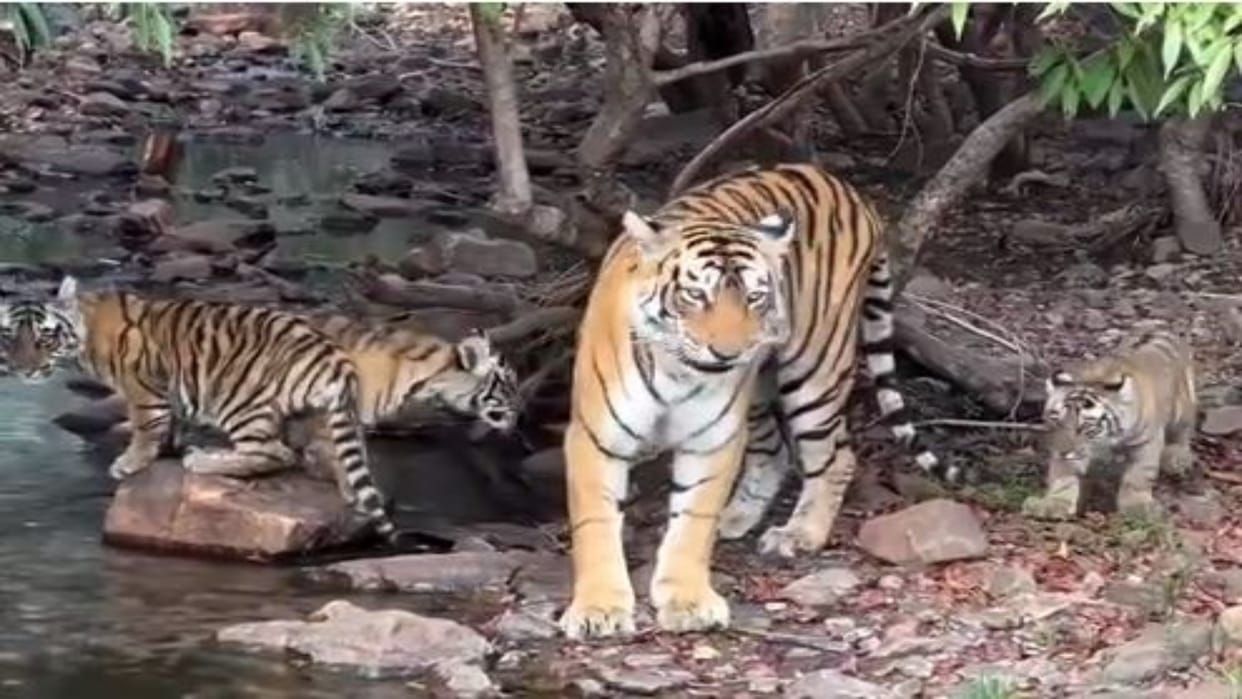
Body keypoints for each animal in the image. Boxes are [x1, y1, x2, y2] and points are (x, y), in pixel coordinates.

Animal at [0, 276, 400, 541]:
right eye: (9, 337)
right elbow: (169, 425)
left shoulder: (143, 388)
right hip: (326, 416)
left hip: (239, 398)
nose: (25, 369)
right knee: (345, 457)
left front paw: (129, 463)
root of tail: (335, 356)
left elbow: (145, 427)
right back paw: (351, 494)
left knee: (274, 453)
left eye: (45, 337)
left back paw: (204, 460)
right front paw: (168, 449)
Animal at [559, 163, 947, 640]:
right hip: (761, 389)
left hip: (814, 370)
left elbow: (693, 522)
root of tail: (848, 188)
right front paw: (598, 610)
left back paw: (798, 533)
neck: (676, 372)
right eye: (696, 295)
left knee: (836, 457)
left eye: (755, 296)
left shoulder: (712, 439)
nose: (729, 354)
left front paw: (687, 601)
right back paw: (738, 517)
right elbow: (595, 524)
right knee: (776, 451)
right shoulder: (596, 438)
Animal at [1021, 328, 1196, 521]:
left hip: (1183, 408)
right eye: (1056, 421)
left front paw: (1137, 506)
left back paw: (1177, 458)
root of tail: (1157, 328)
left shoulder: (1147, 441)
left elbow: (1139, 475)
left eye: (1084, 427)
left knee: (1183, 431)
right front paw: (1054, 503)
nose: (1063, 452)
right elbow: (1063, 474)